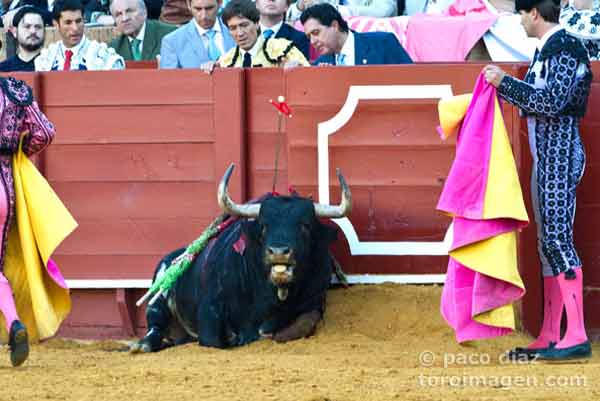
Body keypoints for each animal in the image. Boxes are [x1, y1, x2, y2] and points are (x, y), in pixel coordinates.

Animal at [129, 163, 350, 350]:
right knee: (154, 324)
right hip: (158, 297)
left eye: (305, 225)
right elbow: (214, 340)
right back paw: (142, 344)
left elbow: (297, 327)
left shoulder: (314, 303)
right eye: (263, 226)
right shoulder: (210, 306)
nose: (278, 251)